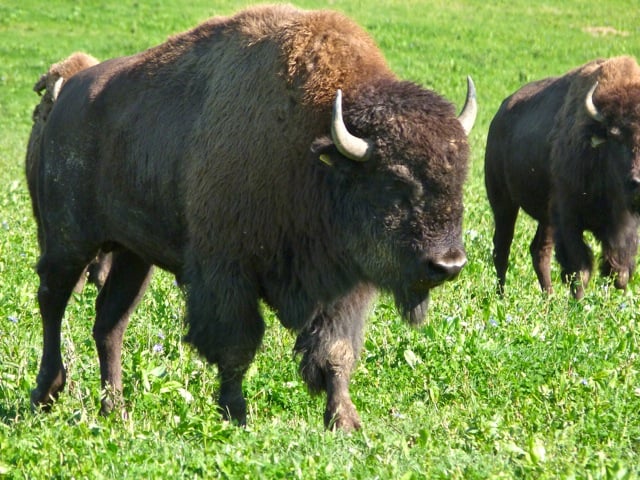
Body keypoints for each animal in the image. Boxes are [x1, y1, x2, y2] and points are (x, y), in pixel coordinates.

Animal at [29, 5, 476, 430]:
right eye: (395, 180)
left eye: (460, 175)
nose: (449, 264)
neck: (316, 153)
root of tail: (67, 96)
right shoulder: (226, 273)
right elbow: (236, 346)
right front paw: (236, 414)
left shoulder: (344, 285)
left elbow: (335, 351)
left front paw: (344, 422)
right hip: (69, 240)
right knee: (52, 300)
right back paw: (46, 393)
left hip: (133, 256)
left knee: (109, 324)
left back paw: (115, 410)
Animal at [485, 56, 640, 299]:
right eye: (616, 137)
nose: (636, 183)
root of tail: (499, 116)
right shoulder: (568, 218)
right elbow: (579, 269)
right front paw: (578, 302)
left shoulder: (624, 226)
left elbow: (619, 271)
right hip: (503, 202)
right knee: (502, 248)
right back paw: (501, 296)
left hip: (545, 217)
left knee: (539, 251)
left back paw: (548, 298)